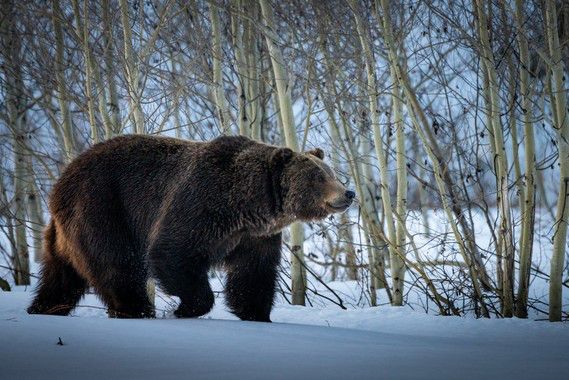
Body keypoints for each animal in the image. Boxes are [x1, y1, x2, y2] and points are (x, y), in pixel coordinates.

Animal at [28, 135, 356, 322]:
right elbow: (171, 252)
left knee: (60, 277)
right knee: (118, 265)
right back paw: (136, 309)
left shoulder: (254, 236)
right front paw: (186, 308)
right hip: (102, 207)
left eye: (331, 173)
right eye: (318, 176)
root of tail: (59, 183)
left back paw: (44, 309)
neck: (248, 204)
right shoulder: (200, 204)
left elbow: (253, 273)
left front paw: (257, 314)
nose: (348, 193)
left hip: (65, 233)